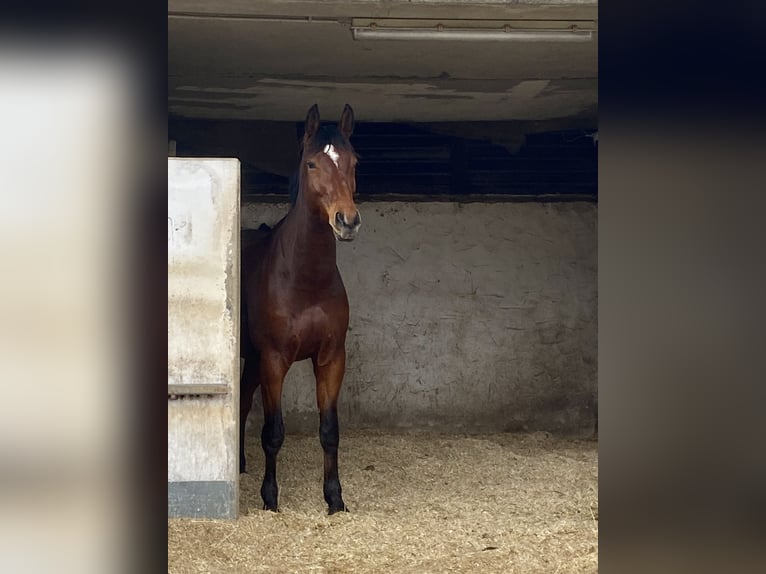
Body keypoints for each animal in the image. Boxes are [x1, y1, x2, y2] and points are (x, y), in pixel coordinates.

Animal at [238, 104, 362, 516]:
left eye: (354, 161)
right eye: (311, 163)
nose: (347, 221)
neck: (305, 279)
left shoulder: (331, 358)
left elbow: (330, 431)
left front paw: (335, 498)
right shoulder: (275, 359)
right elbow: (274, 432)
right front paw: (270, 499)